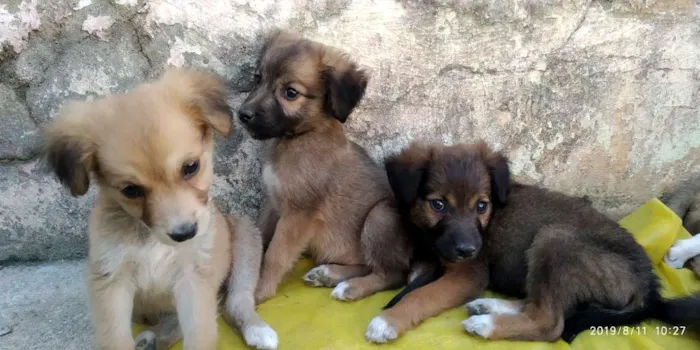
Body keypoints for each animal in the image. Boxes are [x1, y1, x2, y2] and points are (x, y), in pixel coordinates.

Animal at [41, 69, 278, 350]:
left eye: (191, 167)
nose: (184, 233)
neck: (151, 241)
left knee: (236, 302)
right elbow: (114, 338)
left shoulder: (193, 277)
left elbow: (200, 333)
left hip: (245, 236)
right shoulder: (111, 279)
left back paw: (258, 330)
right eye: (131, 190)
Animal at [237, 30, 410, 304]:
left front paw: (257, 291)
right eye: (257, 79)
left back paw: (351, 287)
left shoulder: (298, 214)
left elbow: (275, 255)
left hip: (380, 215)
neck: (298, 138)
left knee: (392, 275)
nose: (243, 115)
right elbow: (261, 237)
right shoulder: (273, 203)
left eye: (290, 93)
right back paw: (329, 274)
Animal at [366, 141, 700, 344]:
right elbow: (415, 283)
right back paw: (490, 306)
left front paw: (387, 320)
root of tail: (648, 288)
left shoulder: (469, 274)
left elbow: (421, 296)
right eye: (438, 205)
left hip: (556, 238)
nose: (468, 250)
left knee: (550, 321)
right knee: (543, 302)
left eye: (481, 206)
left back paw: (487, 324)